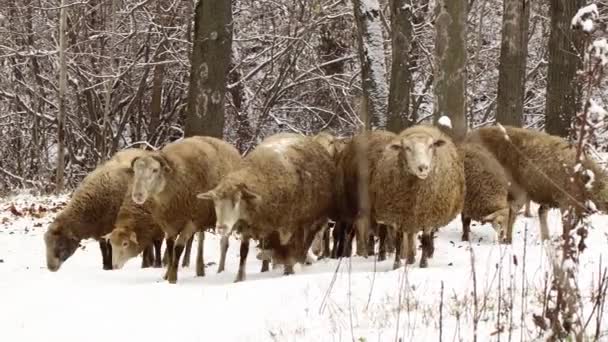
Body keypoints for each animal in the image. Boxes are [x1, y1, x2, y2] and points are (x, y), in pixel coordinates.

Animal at [126, 136, 242, 284]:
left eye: (155, 170)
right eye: (135, 171)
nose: (138, 195)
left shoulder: (191, 221)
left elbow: (178, 247)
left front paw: (172, 278)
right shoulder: (169, 223)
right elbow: (170, 248)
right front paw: (167, 274)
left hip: (222, 215)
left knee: (224, 243)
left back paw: (220, 271)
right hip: (202, 216)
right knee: (202, 239)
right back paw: (200, 269)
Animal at [198, 132, 332, 282]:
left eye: (237, 200)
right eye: (215, 201)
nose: (221, 227)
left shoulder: (287, 225)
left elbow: (287, 247)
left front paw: (288, 270)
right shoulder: (249, 225)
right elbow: (243, 252)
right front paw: (239, 278)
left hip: (308, 219)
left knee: (307, 240)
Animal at [370, 124, 466, 268]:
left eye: (431, 146)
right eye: (407, 148)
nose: (423, 167)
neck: (417, 195)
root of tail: (422, 126)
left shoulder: (428, 214)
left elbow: (425, 239)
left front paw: (423, 264)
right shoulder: (400, 215)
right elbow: (398, 240)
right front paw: (397, 265)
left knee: (425, 236)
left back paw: (424, 254)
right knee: (407, 235)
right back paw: (409, 258)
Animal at [466, 125, 608, 240]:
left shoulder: (551, 196)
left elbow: (543, 214)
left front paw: (546, 239)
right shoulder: (565, 200)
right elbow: (566, 225)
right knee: (510, 214)